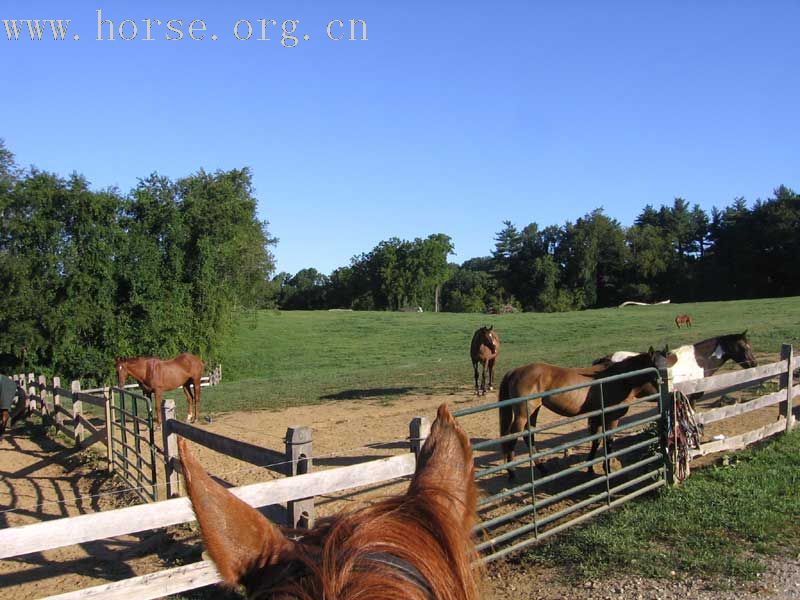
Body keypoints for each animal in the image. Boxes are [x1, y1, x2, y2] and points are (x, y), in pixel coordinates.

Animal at [500, 350, 676, 480]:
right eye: (656, 373)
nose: (671, 392)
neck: (619, 379)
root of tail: (515, 371)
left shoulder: (597, 417)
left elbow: (596, 441)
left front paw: (590, 467)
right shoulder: (611, 418)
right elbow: (608, 441)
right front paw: (607, 468)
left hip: (533, 412)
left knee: (528, 437)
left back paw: (542, 469)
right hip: (523, 414)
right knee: (513, 438)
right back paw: (512, 473)